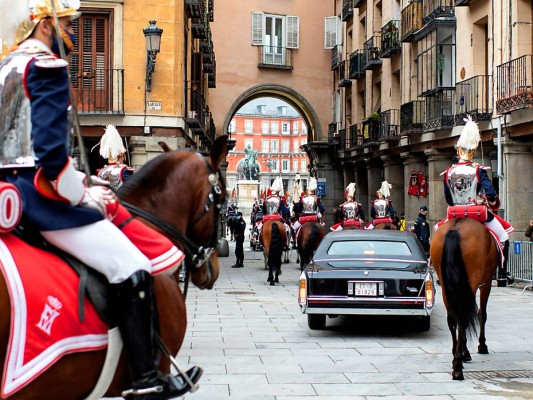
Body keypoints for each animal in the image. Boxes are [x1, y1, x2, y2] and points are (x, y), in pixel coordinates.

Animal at [428, 217, 498, 380]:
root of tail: (456, 228)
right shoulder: (486, 283)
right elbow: (481, 314)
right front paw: (481, 346)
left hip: (445, 283)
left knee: (453, 319)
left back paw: (456, 355)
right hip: (472, 279)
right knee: (463, 317)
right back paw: (458, 365)